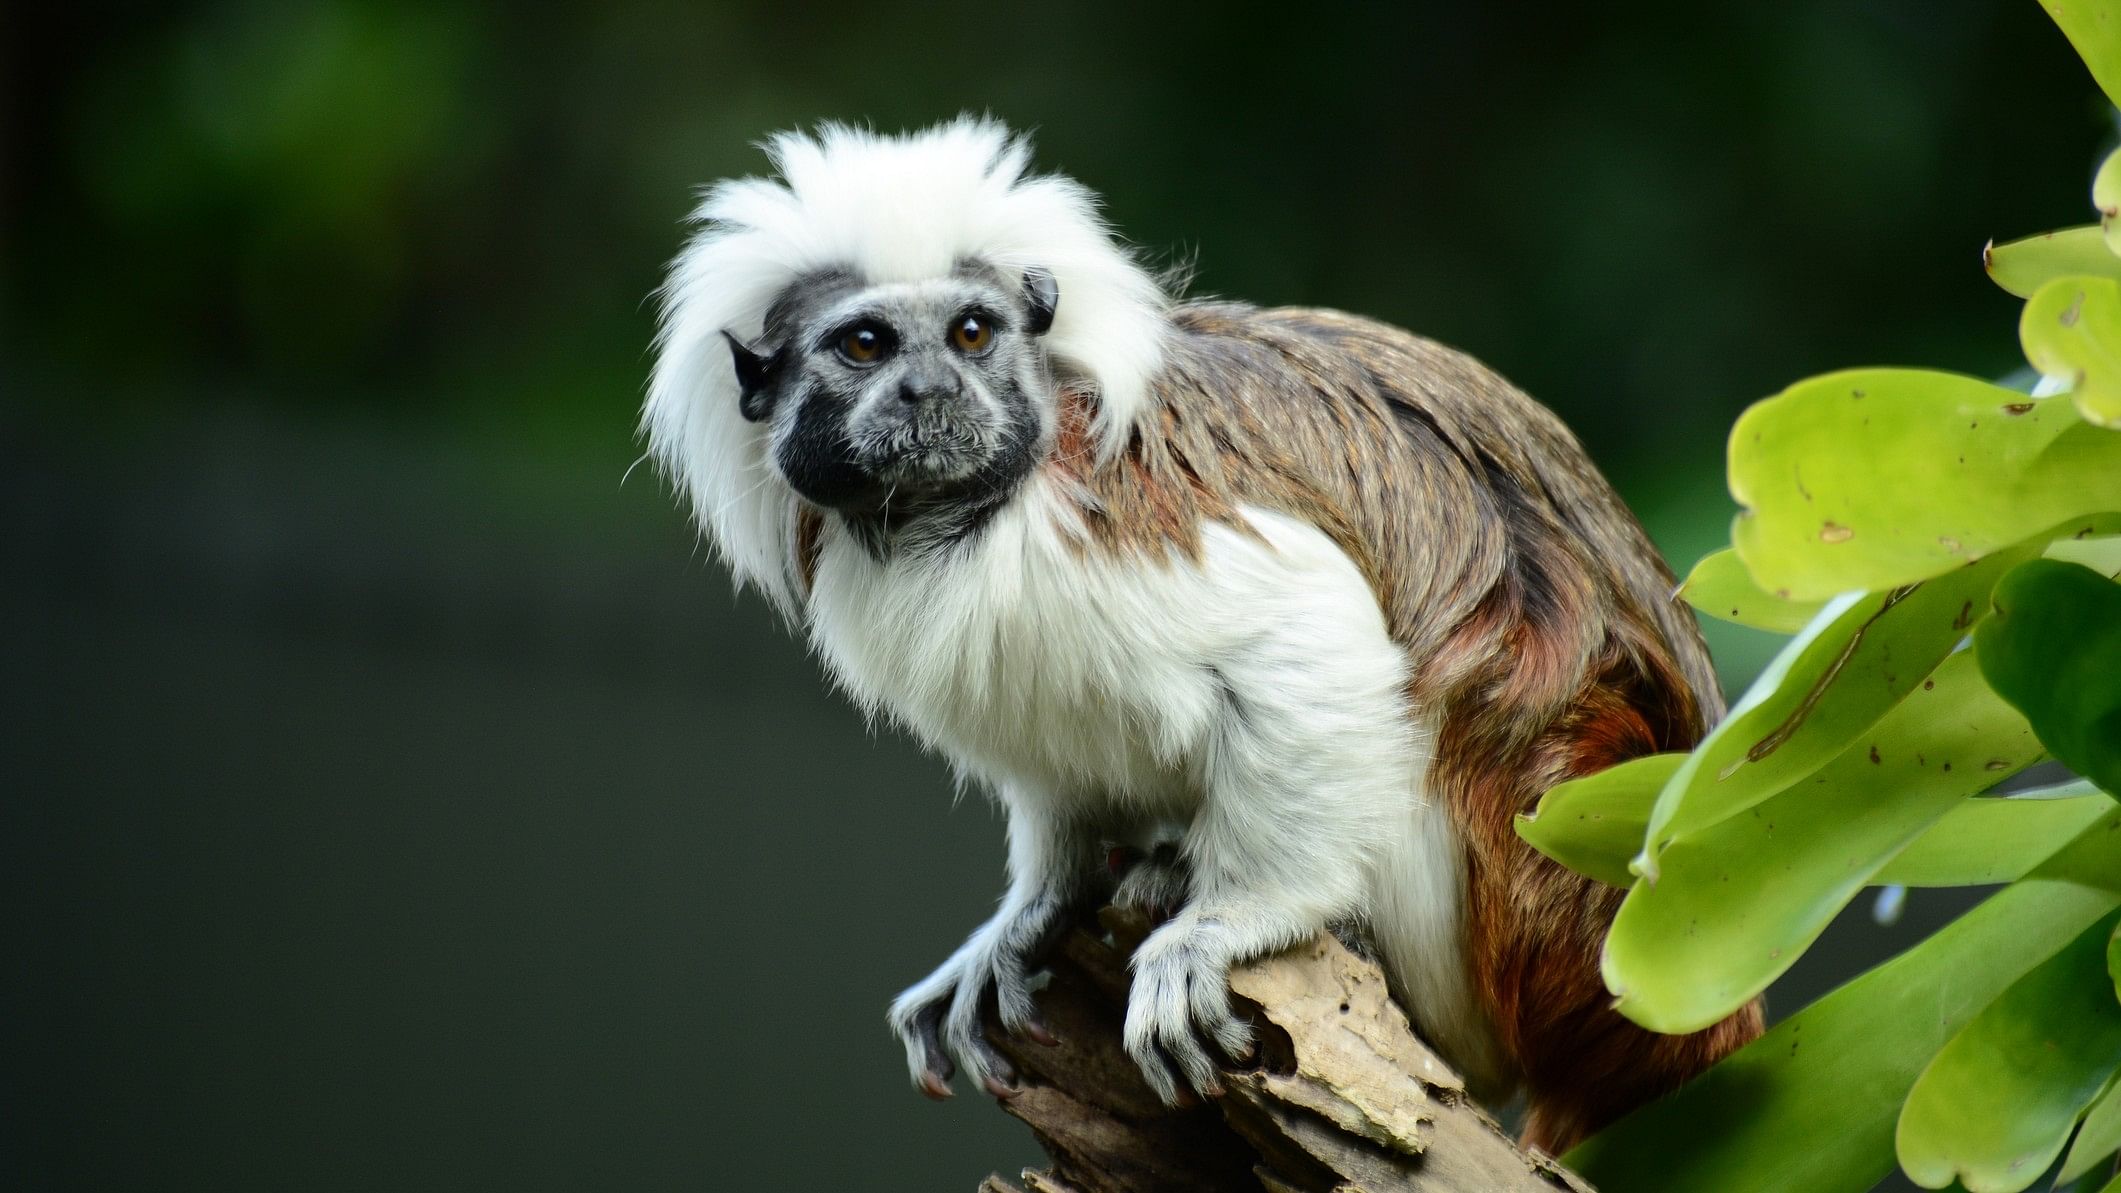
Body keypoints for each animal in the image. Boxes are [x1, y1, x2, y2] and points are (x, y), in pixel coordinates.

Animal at [640, 120, 1756, 1154]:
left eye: (969, 334)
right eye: (866, 345)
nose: (931, 392)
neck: (968, 514)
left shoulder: (1131, 514)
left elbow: (1312, 626)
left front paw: (1232, 921)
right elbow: (1057, 776)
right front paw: (1032, 909)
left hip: (1536, 883)